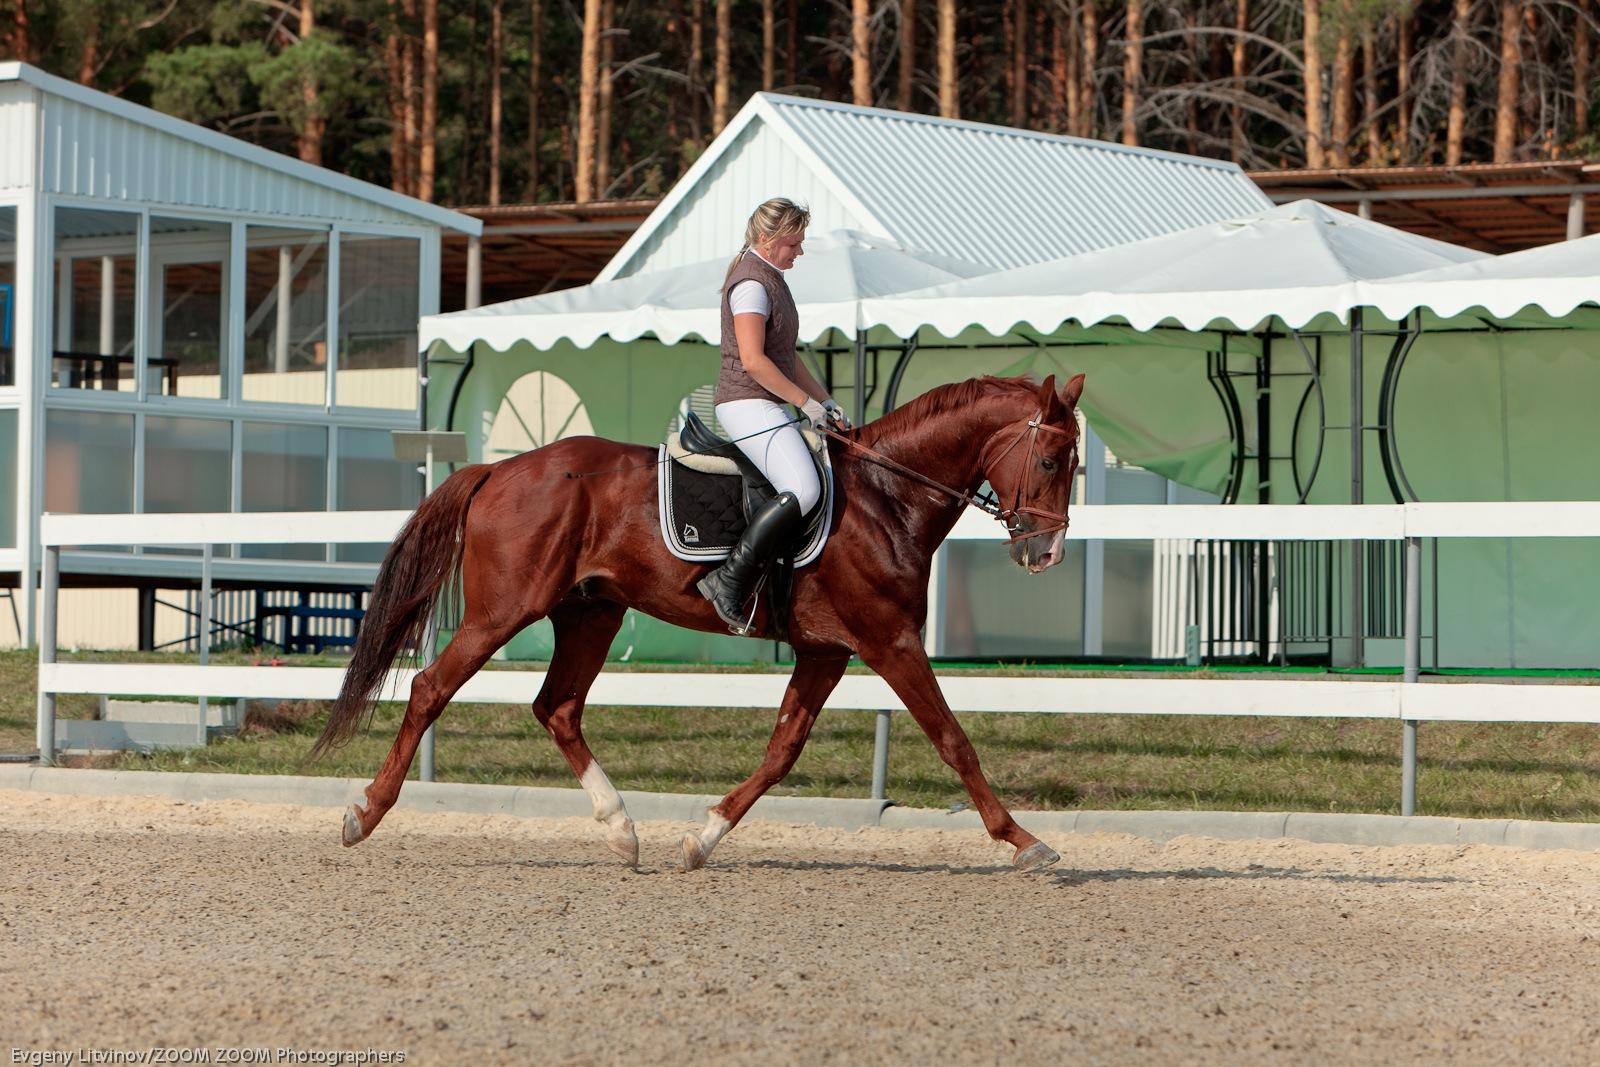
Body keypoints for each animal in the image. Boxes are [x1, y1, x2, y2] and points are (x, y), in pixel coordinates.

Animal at [312, 371, 1088, 870]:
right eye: (1052, 458)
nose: (1045, 553)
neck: (887, 495)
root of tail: (497, 470)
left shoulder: (826, 652)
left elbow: (782, 751)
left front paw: (702, 838)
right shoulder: (888, 641)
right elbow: (955, 740)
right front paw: (1024, 840)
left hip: (591, 612)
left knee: (557, 707)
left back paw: (623, 832)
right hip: (505, 610)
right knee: (431, 688)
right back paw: (363, 814)